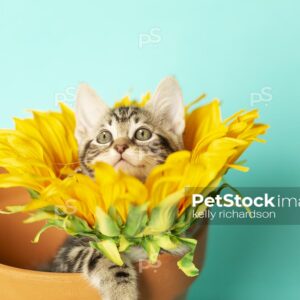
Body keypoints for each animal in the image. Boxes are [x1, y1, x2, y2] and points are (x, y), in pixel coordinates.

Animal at [50, 77, 186, 300]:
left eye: (142, 133)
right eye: (104, 137)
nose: (120, 146)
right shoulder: (68, 254)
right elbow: (105, 254)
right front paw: (121, 291)